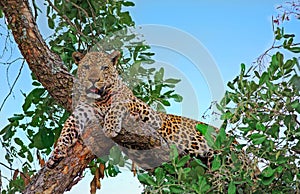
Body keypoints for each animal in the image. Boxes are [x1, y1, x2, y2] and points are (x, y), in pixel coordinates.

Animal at [47, 51, 218, 168]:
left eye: (104, 68)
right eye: (86, 67)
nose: (93, 80)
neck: (101, 99)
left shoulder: (146, 111)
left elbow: (120, 103)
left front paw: (110, 126)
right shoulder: (83, 110)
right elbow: (67, 126)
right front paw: (57, 152)